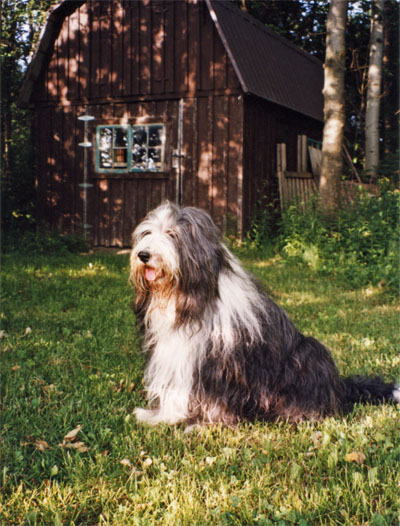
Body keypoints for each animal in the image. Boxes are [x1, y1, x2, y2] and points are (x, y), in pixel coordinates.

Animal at [130, 202, 398, 428]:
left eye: (172, 234)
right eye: (148, 233)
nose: (143, 255)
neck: (189, 297)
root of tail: (340, 387)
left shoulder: (221, 361)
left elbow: (214, 396)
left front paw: (204, 424)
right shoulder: (177, 352)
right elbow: (175, 387)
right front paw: (161, 417)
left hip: (308, 353)